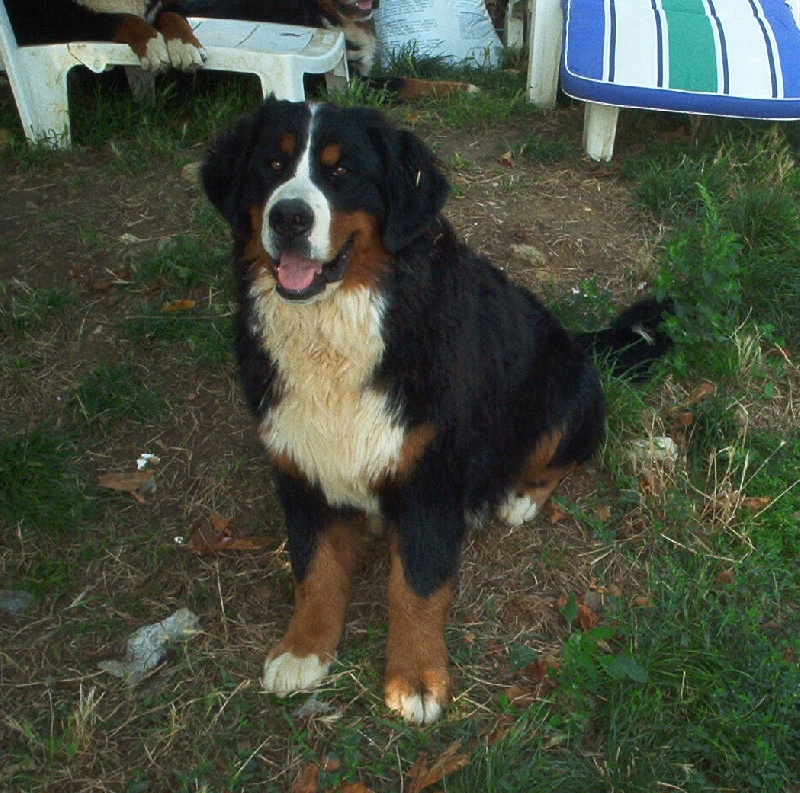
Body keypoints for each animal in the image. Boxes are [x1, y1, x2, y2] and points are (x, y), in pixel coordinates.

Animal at [200, 99, 668, 724]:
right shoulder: (301, 463)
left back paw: (519, 497)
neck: (336, 332)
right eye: (271, 165)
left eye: (342, 171)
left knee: (567, 451)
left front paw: (417, 676)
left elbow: (416, 585)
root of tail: (574, 338)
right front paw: (303, 649)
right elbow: (314, 569)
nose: (289, 218)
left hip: (560, 391)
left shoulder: (431, 474)